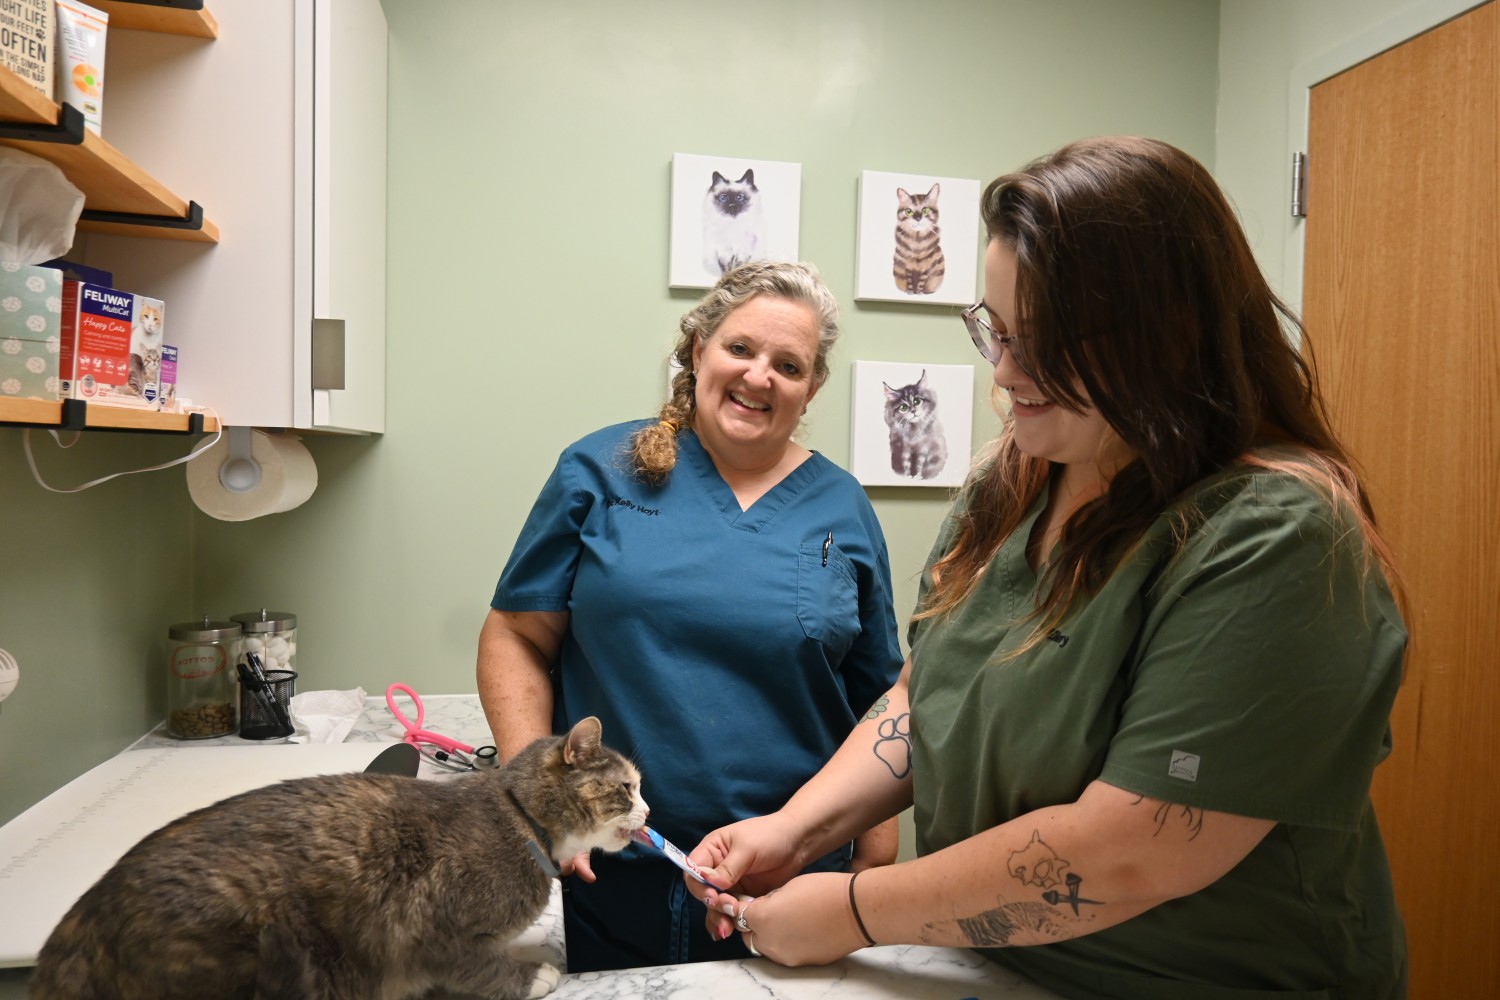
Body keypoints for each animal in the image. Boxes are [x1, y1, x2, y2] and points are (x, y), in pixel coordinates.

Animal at [32, 719, 648, 1000]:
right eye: (626, 787)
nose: (649, 809)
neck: (521, 819)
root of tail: (78, 925)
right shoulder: (435, 934)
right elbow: (479, 965)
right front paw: (535, 973)